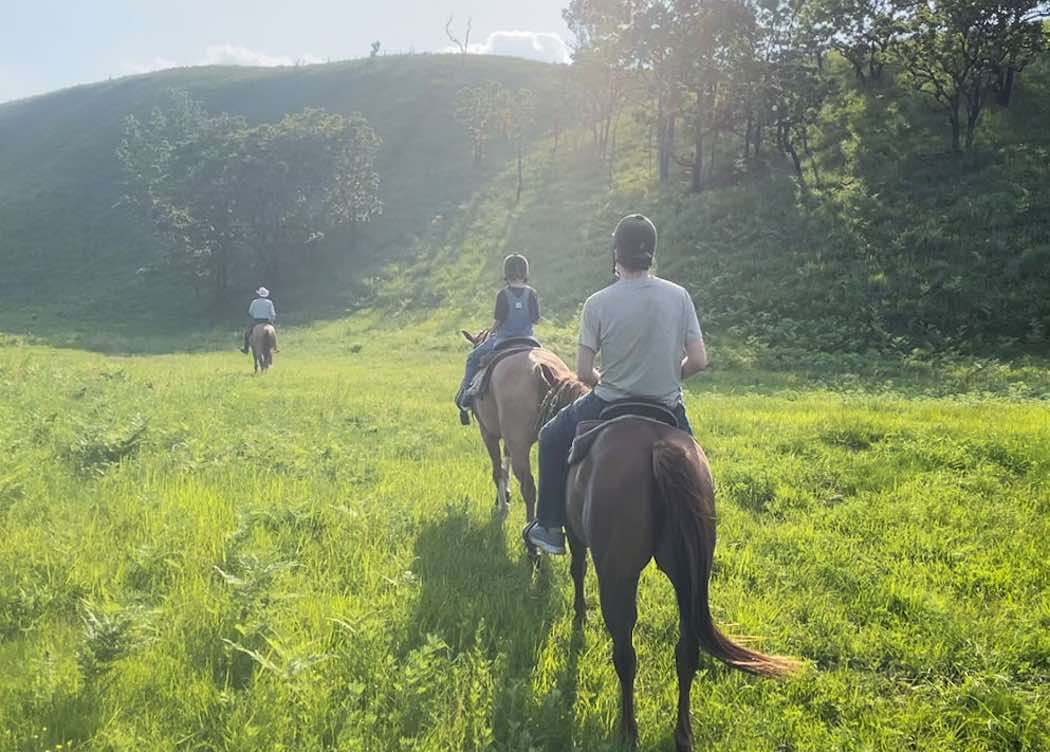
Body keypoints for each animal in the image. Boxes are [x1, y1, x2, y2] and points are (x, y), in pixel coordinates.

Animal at [461, 329, 592, 523]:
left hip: (519, 446)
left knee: (528, 487)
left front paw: (503, 508)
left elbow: (497, 471)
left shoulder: (488, 433)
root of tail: (539, 371)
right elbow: (504, 466)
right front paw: (506, 497)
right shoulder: (508, 439)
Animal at [546, 376, 797, 752]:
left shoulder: (576, 536)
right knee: (687, 653)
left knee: (626, 654)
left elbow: (578, 571)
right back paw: (683, 734)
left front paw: (578, 618)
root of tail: (658, 447)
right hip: (688, 578)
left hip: (619, 575)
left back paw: (628, 731)